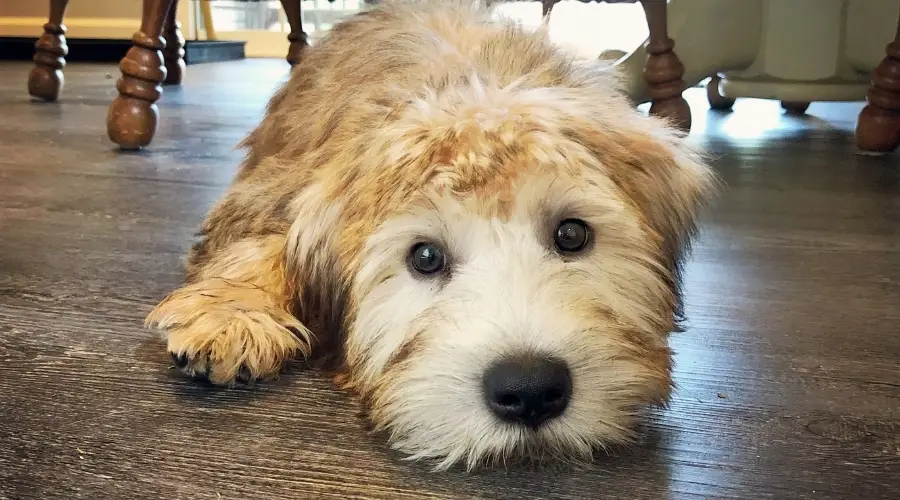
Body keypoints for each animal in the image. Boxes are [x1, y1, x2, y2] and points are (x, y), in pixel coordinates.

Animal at [144, 0, 712, 470]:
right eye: (425, 257)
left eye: (572, 234)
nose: (530, 389)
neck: (474, 83)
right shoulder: (278, 187)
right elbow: (264, 242)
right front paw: (232, 315)